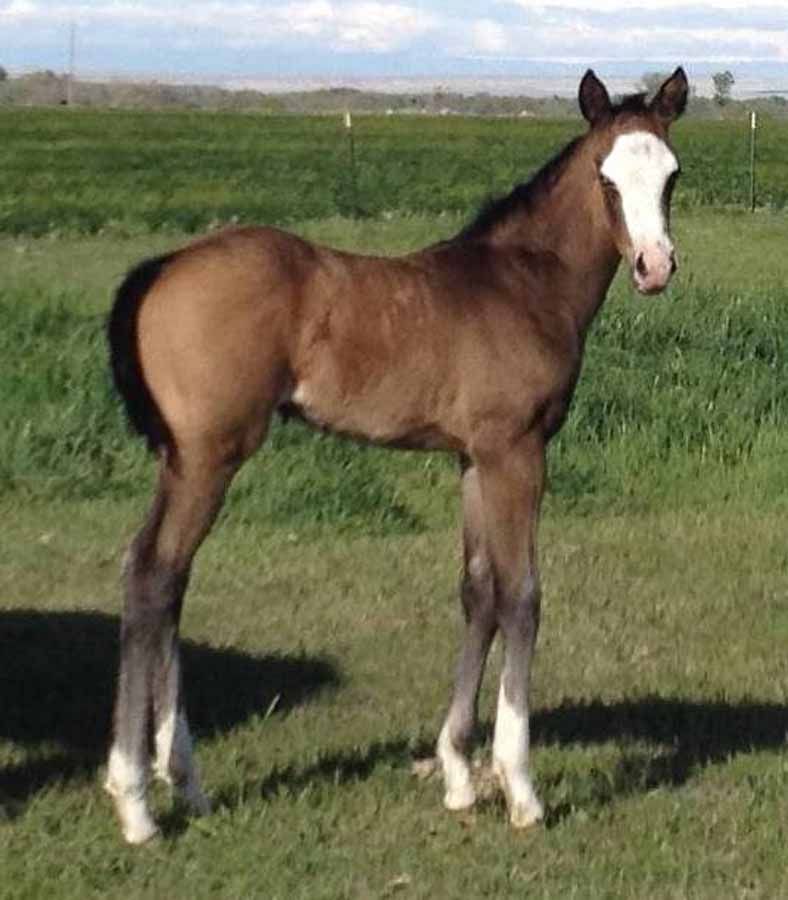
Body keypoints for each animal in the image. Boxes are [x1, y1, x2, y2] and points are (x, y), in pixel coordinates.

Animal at [105, 68, 688, 843]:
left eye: (673, 175)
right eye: (606, 176)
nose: (655, 267)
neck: (524, 284)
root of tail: (164, 265)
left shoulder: (473, 458)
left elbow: (478, 592)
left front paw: (458, 774)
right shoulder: (516, 452)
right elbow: (522, 595)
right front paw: (519, 785)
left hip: (183, 457)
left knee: (166, 581)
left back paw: (186, 782)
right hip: (209, 456)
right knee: (154, 573)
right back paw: (136, 800)